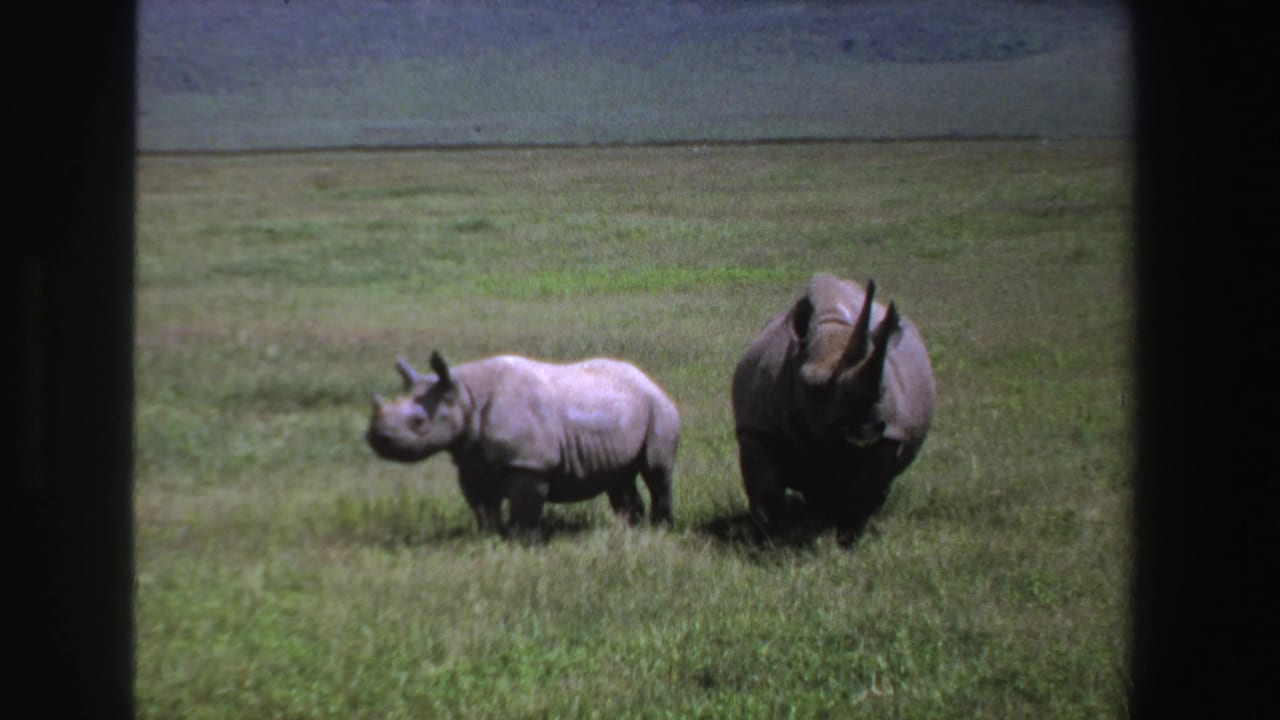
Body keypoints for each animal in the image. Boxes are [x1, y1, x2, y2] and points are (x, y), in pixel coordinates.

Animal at [366, 351, 680, 534]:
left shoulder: (529, 462)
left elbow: (524, 507)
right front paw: (490, 537)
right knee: (620, 476)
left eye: (419, 422)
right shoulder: (471, 459)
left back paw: (659, 529)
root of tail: (650, 380)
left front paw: (522, 542)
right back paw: (632, 530)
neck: (465, 393)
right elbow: (482, 505)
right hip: (621, 410)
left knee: (657, 471)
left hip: (659, 408)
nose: (376, 438)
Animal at [731, 272, 936, 543]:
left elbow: (866, 489)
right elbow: (765, 488)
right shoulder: (758, 426)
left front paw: (847, 536)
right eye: (814, 388)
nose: (867, 429)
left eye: (883, 389)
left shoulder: (890, 434)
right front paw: (768, 538)